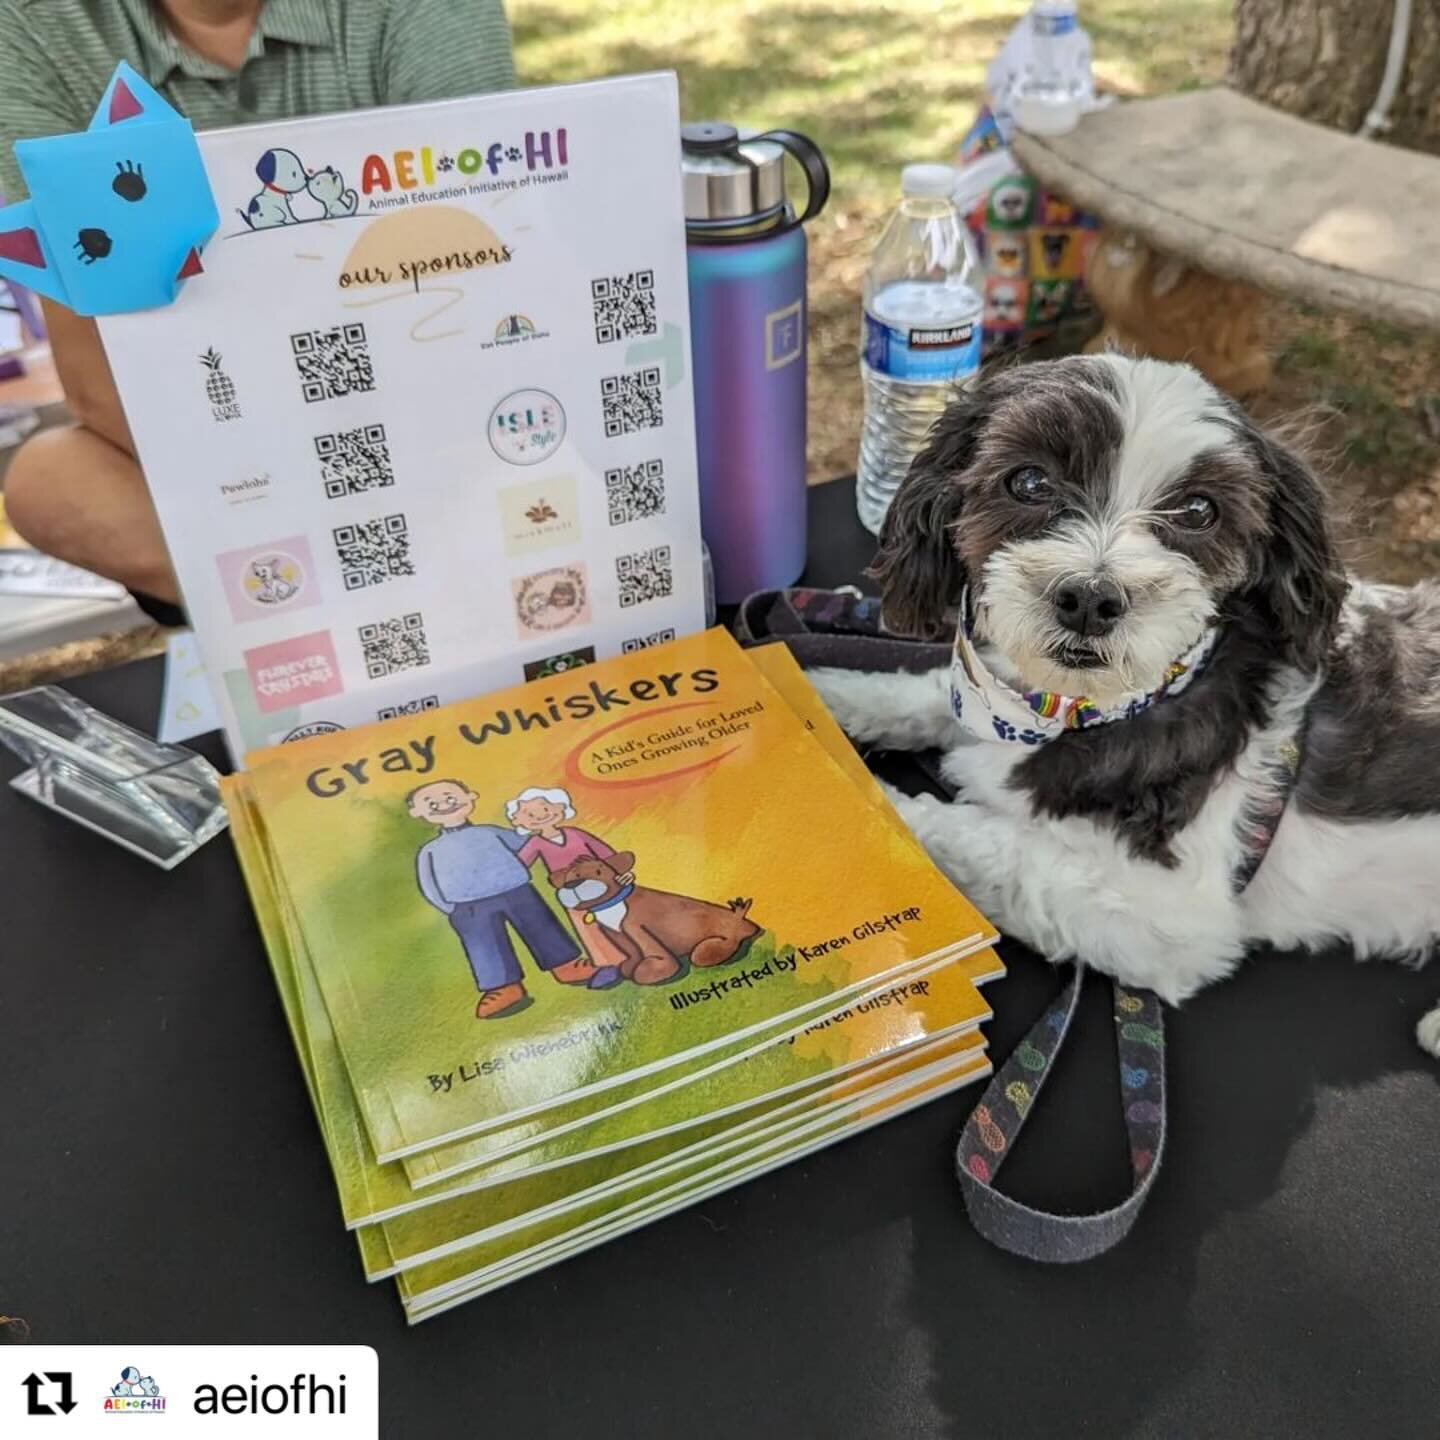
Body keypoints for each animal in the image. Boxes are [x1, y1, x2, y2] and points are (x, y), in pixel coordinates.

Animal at [550, 852, 760, 990]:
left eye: (599, 871)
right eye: (572, 875)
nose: (573, 883)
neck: (612, 907)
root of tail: (739, 918)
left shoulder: (636, 927)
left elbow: (654, 957)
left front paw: (653, 970)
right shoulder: (617, 935)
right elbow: (631, 953)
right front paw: (628, 967)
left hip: (712, 945)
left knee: (707, 952)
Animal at [812, 354, 1440, 1054]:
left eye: (1199, 510)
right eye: (1028, 480)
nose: (1090, 598)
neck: (1078, 710)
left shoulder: (1173, 921)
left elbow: (985, 842)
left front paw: (861, 800)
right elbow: (919, 697)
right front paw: (808, 688)